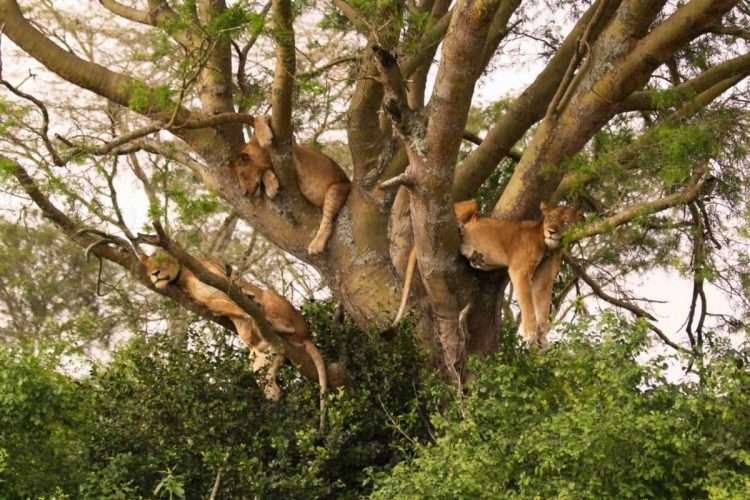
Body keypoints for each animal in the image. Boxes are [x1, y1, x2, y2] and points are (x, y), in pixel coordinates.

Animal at [230, 116, 350, 255]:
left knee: (327, 222)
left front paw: (264, 138)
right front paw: (271, 186)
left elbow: (260, 118)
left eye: (242, 175)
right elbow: (265, 172)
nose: (244, 193)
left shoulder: (289, 148)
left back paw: (316, 245)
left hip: (336, 188)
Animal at [459, 202, 581, 347]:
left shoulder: (545, 277)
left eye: (565, 221)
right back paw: (466, 242)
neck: (549, 248)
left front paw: (542, 337)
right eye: (551, 218)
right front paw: (530, 335)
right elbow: (528, 304)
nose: (551, 231)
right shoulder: (520, 270)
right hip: (469, 205)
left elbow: (543, 306)